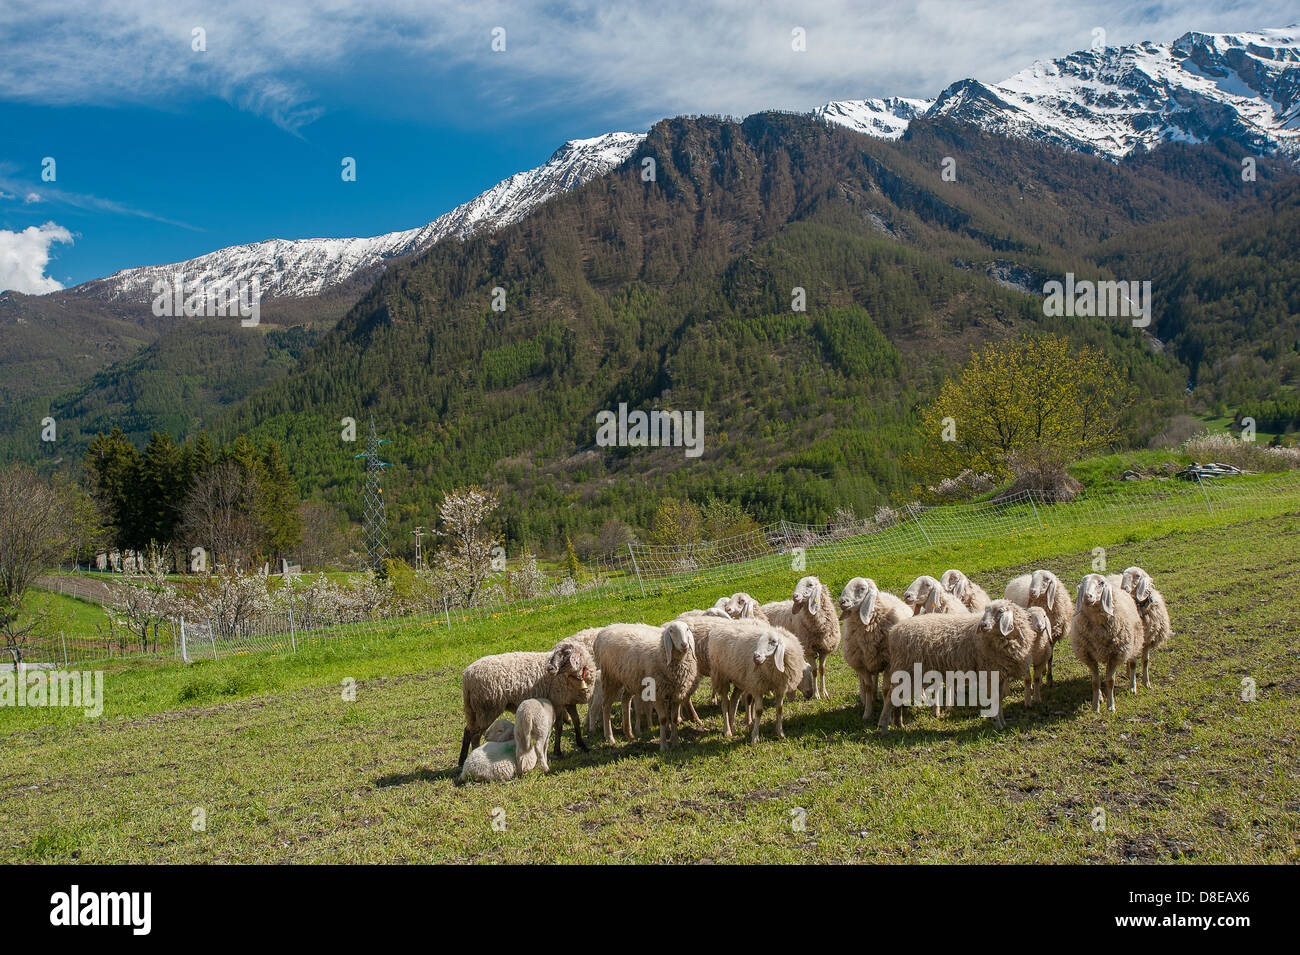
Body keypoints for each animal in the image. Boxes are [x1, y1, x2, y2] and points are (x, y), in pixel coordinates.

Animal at [460, 641, 595, 769]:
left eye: (567, 653)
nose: (550, 668)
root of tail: (467, 676)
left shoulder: (569, 701)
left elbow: (576, 721)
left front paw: (582, 744)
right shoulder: (558, 701)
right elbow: (559, 726)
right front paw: (558, 751)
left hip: (474, 709)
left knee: (468, 731)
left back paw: (461, 761)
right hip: (487, 707)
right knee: (475, 735)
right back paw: (473, 754)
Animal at [595, 621, 702, 753]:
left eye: (687, 629)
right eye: (671, 631)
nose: (684, 645)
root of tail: (606, 629)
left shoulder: (676, 694)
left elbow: (673, 718)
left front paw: (675, 742)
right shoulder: (658, 694)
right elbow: (663, 719)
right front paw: (663, 745)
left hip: (630, 679)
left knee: (625, 700)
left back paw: (628, 732)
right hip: (610, 678)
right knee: (606, 706)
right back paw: (609, 737)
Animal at [837, 574, 909, 717]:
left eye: (862, 588)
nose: (842, 602)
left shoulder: (889, 663)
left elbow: (886, 689)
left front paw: (885, 714)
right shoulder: (862, 663)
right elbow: (868, 686)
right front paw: (867, 713)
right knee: (870, 679)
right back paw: (868, 698)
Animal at [1071, 571, 1144, 712]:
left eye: (1101, 583)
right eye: (1083, 582)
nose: (1087, 596)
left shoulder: (1116, 655)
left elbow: (1110, 681)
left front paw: (1111, 707)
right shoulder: (1088, 656)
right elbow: (1095, 682)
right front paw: (1095, 707)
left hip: (1133, 643)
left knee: (1132, 663)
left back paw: (1132, 687)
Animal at [1112, 563, 1175, 691]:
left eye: (1137, 576)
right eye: (1125, 575)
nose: (1124, 588)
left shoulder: (1148, 640)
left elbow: (1145, 661)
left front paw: (1146, 683)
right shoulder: (1135, 639)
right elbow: (1133, 663)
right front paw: (1132, 687)